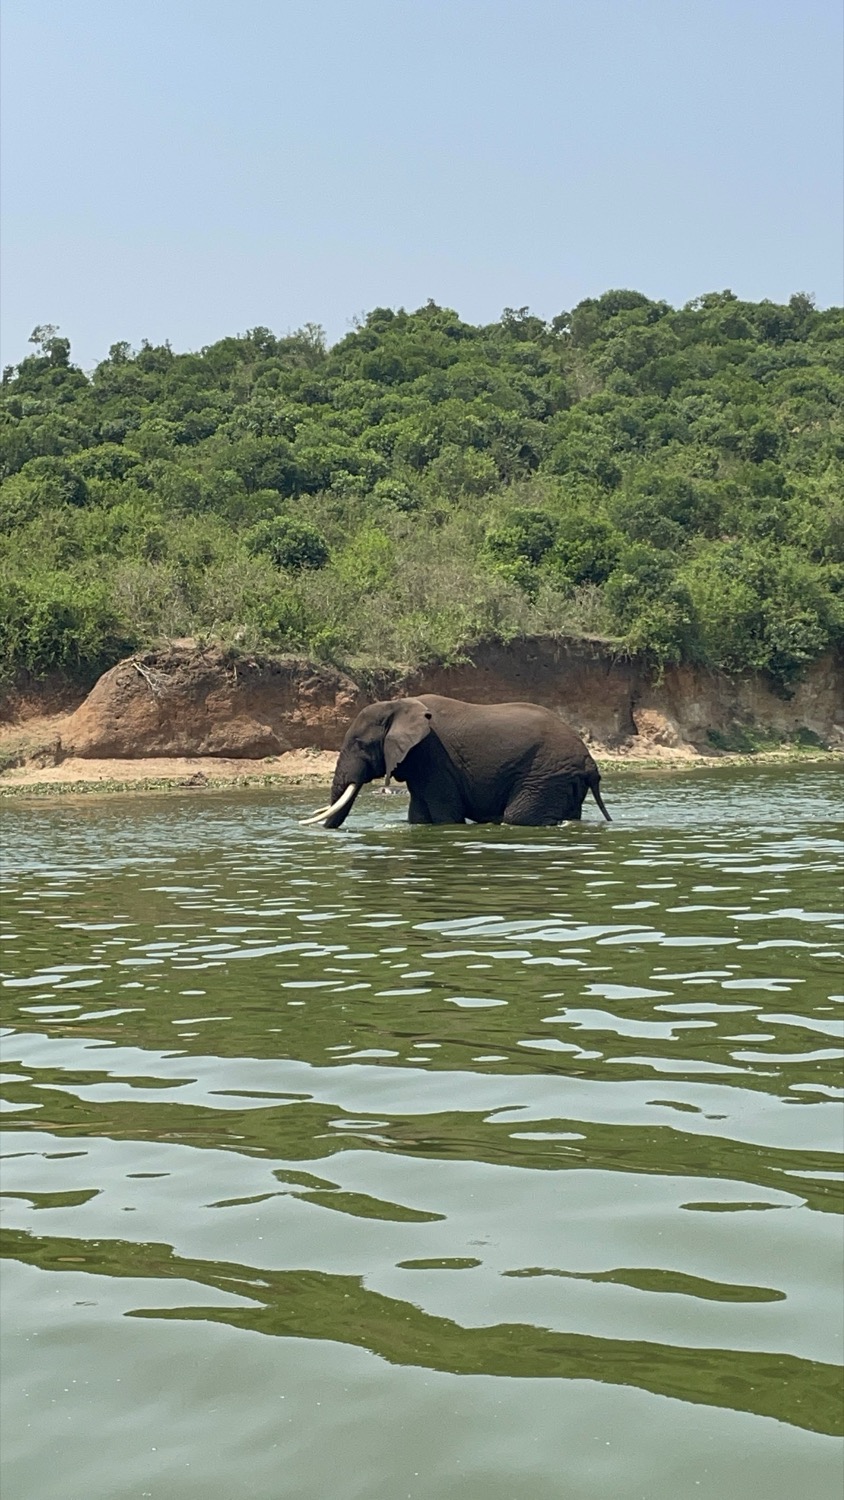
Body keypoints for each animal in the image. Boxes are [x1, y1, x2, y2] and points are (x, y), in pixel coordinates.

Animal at [301, 694, 611, 829]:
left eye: (361, 745)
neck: (399, 704)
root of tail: (590, 763)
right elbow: (419, 817)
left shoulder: (433, 757)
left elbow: (445, 817)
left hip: (546, 774)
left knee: (518, 817)